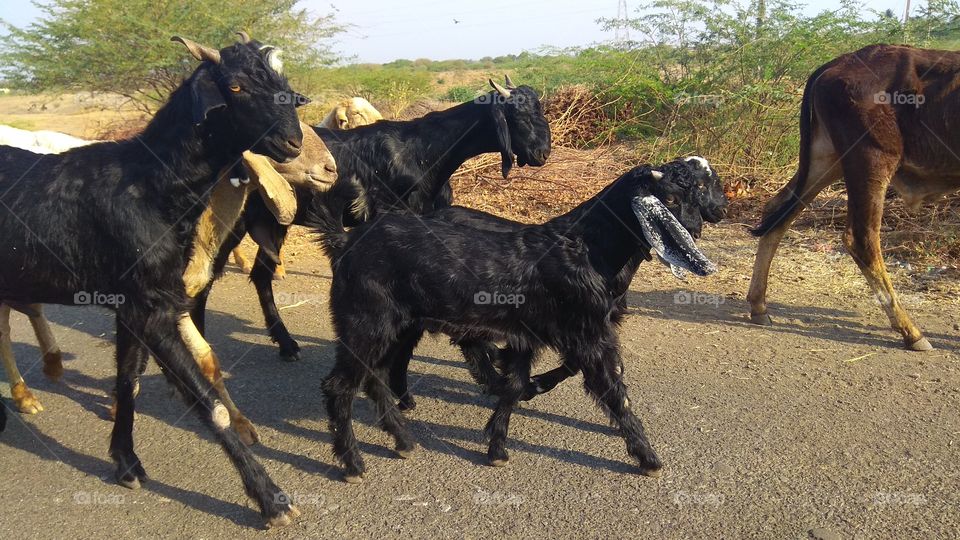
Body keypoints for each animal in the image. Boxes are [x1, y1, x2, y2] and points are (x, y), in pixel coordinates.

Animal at [0, 34, 305, 526]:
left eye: (283, 83)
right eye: (235, 87)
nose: (292, 141)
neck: (151, 183)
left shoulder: (134, 303)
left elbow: (129, 379)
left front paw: (126, 463)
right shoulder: (152, 307)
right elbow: (209, 405)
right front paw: (271, 498)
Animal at [197, 76, 552, 362]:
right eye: (518, 115)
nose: (542, 153)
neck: (423, 151)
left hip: (275, 220)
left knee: (260, 274)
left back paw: (285, 344)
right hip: (233, 221)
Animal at [311, 157, 728, 483]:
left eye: (695, 190)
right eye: (670, 198)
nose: (707, 220)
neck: (585, 247)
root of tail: (346, 243)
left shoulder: (530, 336)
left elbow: (514, 385)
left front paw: (496, 444)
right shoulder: (591, 336)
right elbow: (614, 391)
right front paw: (648, 457)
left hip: (390, 327)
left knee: (375, 377)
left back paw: (403, 439)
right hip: (366, 323)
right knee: (340, 386)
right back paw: (353, 462)